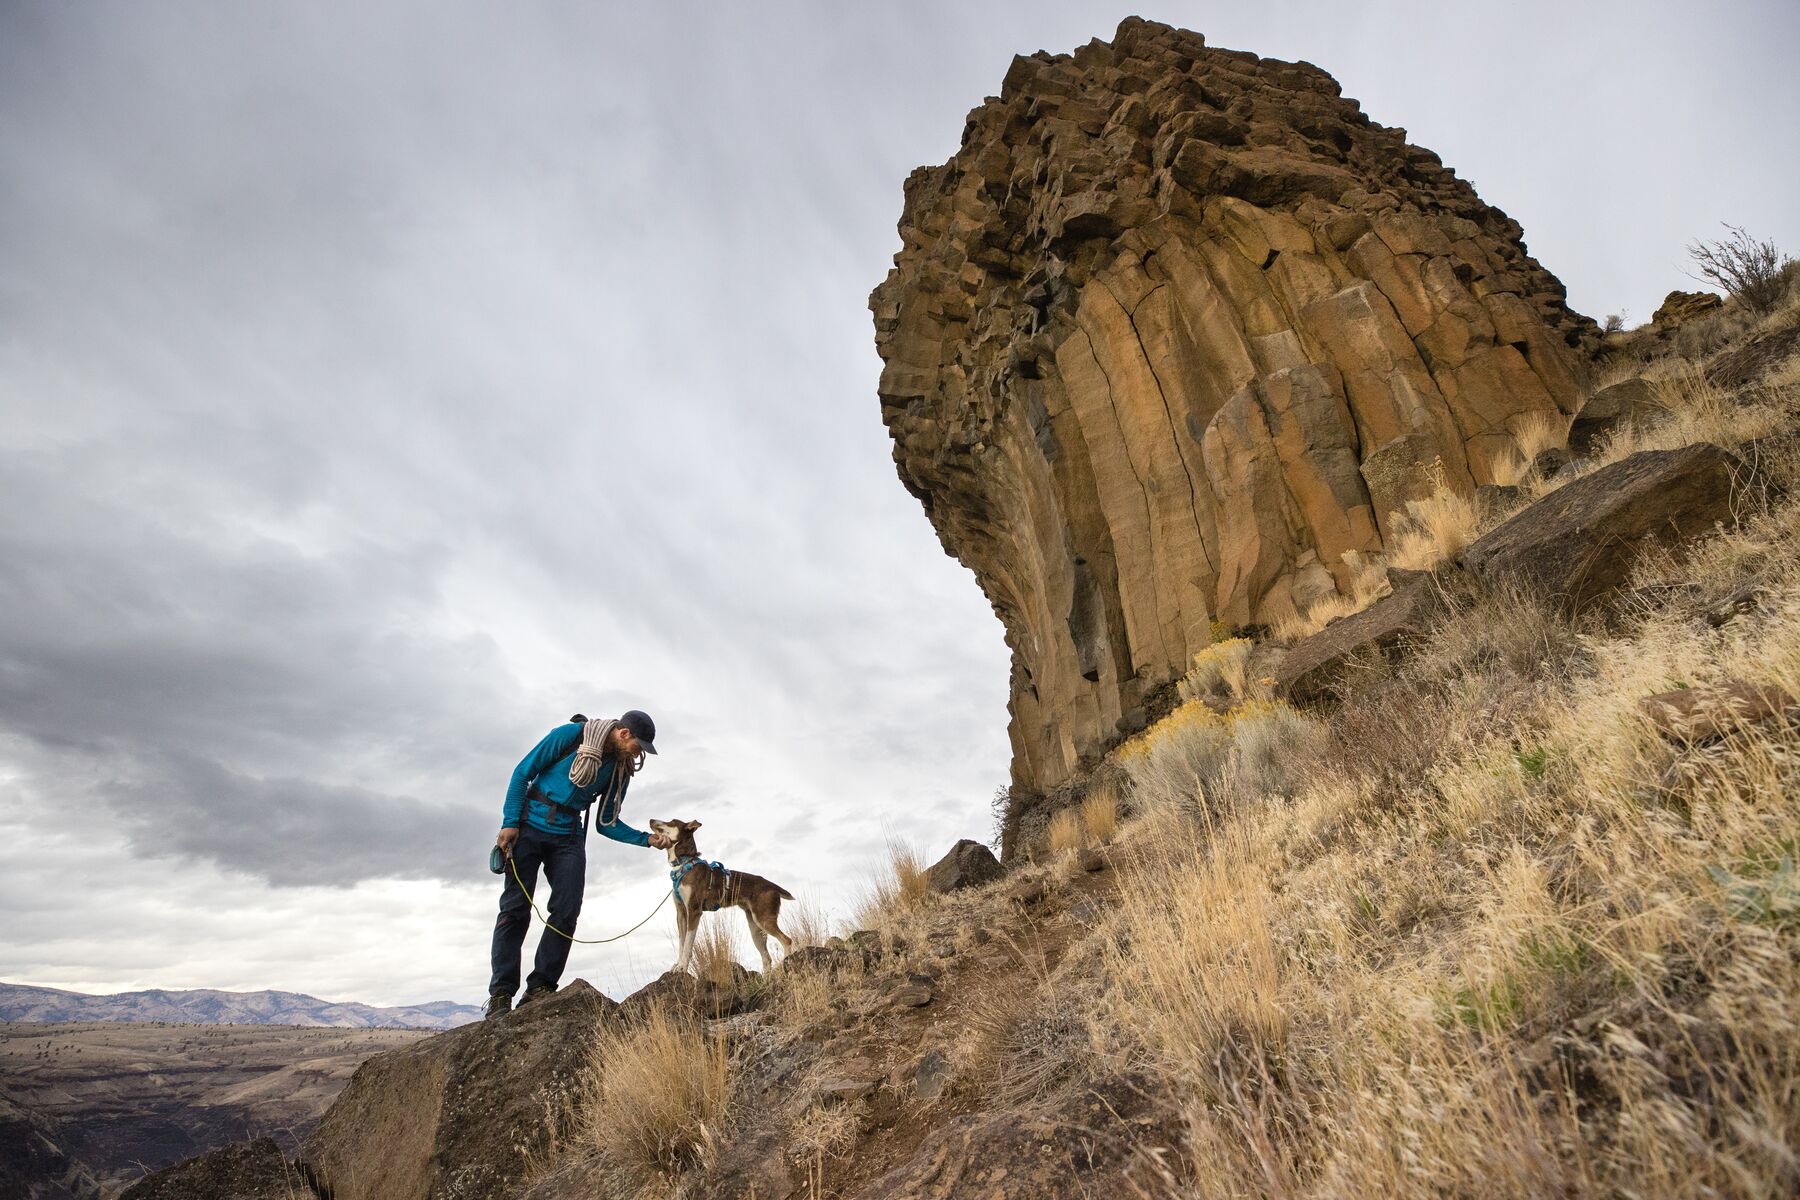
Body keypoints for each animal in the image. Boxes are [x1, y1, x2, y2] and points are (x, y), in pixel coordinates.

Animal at [644, 816, 792, 978]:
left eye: (671, 821)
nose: (651, 819)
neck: (684, 863)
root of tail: (771, 885)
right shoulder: (681, 912)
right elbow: (682, 943)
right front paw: (678, 965)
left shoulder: (694, 911)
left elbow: (688, 945)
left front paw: (682, 967)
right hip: (755, 928)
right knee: (766, 958)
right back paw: (766, 980)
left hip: (764, 920)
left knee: (787, 941)